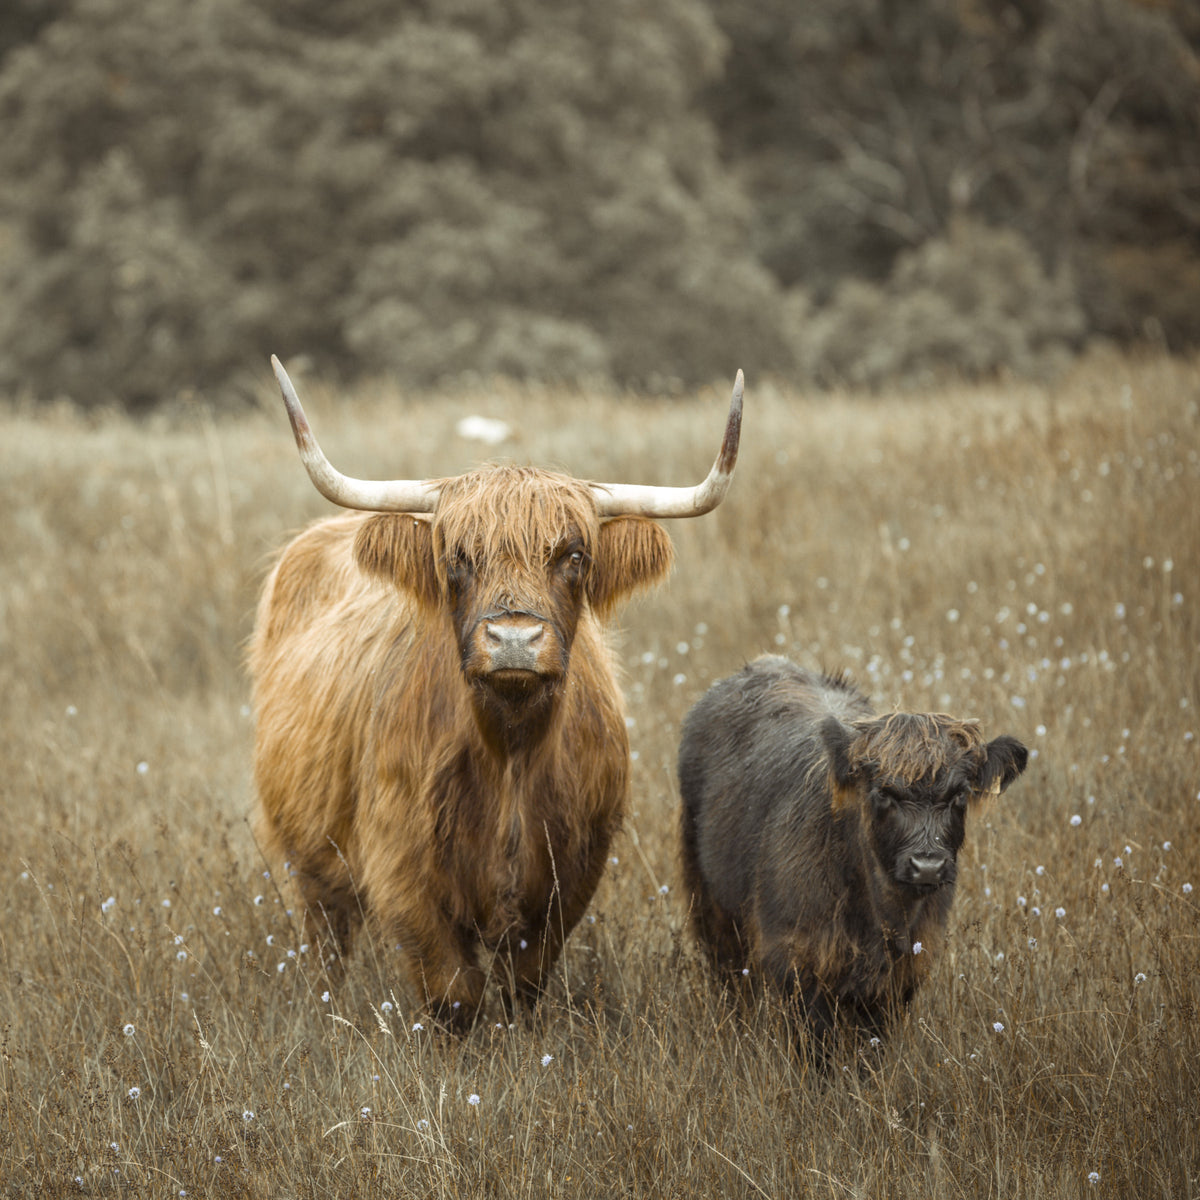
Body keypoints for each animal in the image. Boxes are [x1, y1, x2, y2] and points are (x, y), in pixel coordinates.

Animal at [249, 356, 743, 1029]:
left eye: (574, 555)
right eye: (456, 557)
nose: (513, 639)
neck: (510, 753)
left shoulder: (570, 876)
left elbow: (522, 987)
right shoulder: (405, 872)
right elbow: (454, 994)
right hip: (308, 855)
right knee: (328, 936)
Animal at [678, 656, 1027, 1059]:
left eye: (959, 795)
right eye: (883, 793)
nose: (927, 866)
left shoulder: (905, 972)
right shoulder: (798, 961)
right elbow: (817, 1047)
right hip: (712, 908)